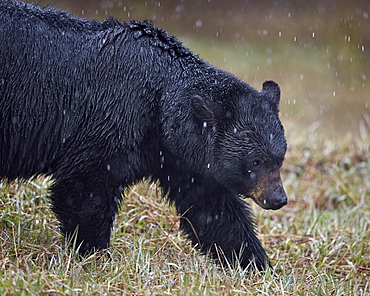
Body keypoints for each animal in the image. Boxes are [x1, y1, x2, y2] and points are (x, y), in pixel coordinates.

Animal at [0, 0, 288, 272]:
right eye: (255, 161)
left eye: (279, 158)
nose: (278, 198)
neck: (159, 100)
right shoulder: (114, 118)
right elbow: (84, 187)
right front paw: (94, 255)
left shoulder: (179, 155)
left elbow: (213, 209)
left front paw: (257, 266)